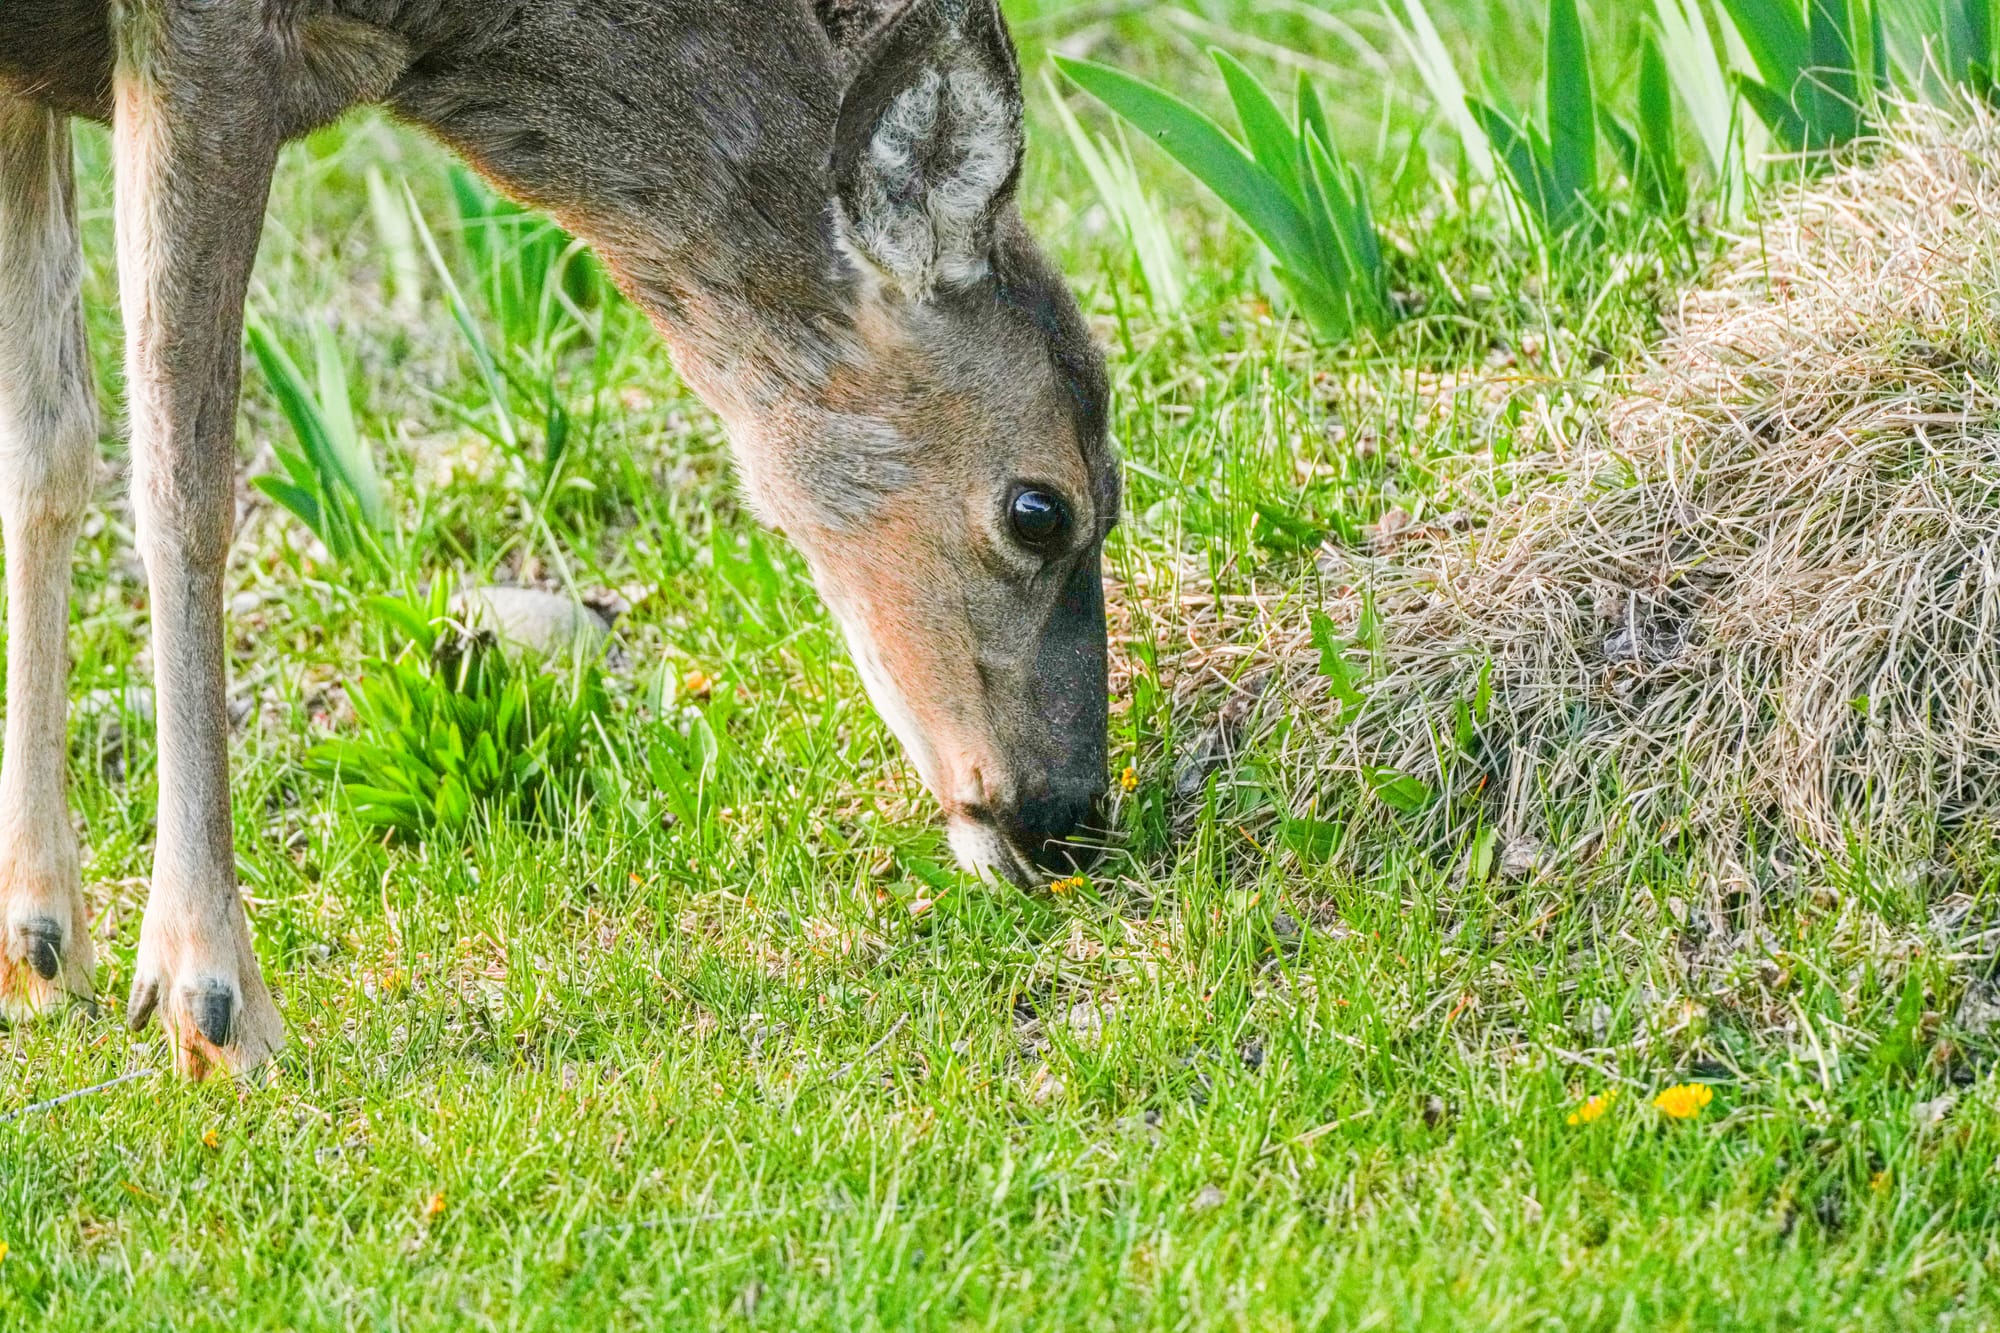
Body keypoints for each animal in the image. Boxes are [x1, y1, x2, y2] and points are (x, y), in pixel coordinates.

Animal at [0, 0, 1118, 1081]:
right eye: (1040, 508)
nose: (1068, 815)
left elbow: (46, 445)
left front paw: (39, 945)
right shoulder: (199, 32)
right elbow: (181, 482)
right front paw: (210, 995)